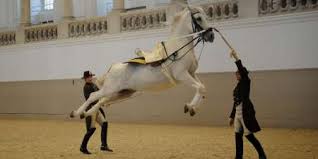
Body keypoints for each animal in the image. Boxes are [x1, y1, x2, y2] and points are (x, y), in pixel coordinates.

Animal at [69, 4, 214, 118]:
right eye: (199, 18)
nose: (211, 35)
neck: (178, 48)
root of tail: (113, 67)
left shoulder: (192, 74)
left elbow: (203, 88)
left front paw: (192, 108)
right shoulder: (182, 75)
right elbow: (200, 88)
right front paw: (189, 107)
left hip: (122, 93)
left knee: (102, 101)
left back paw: (86, 113)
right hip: (110, 89)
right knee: (93, 96)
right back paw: (76, 113)